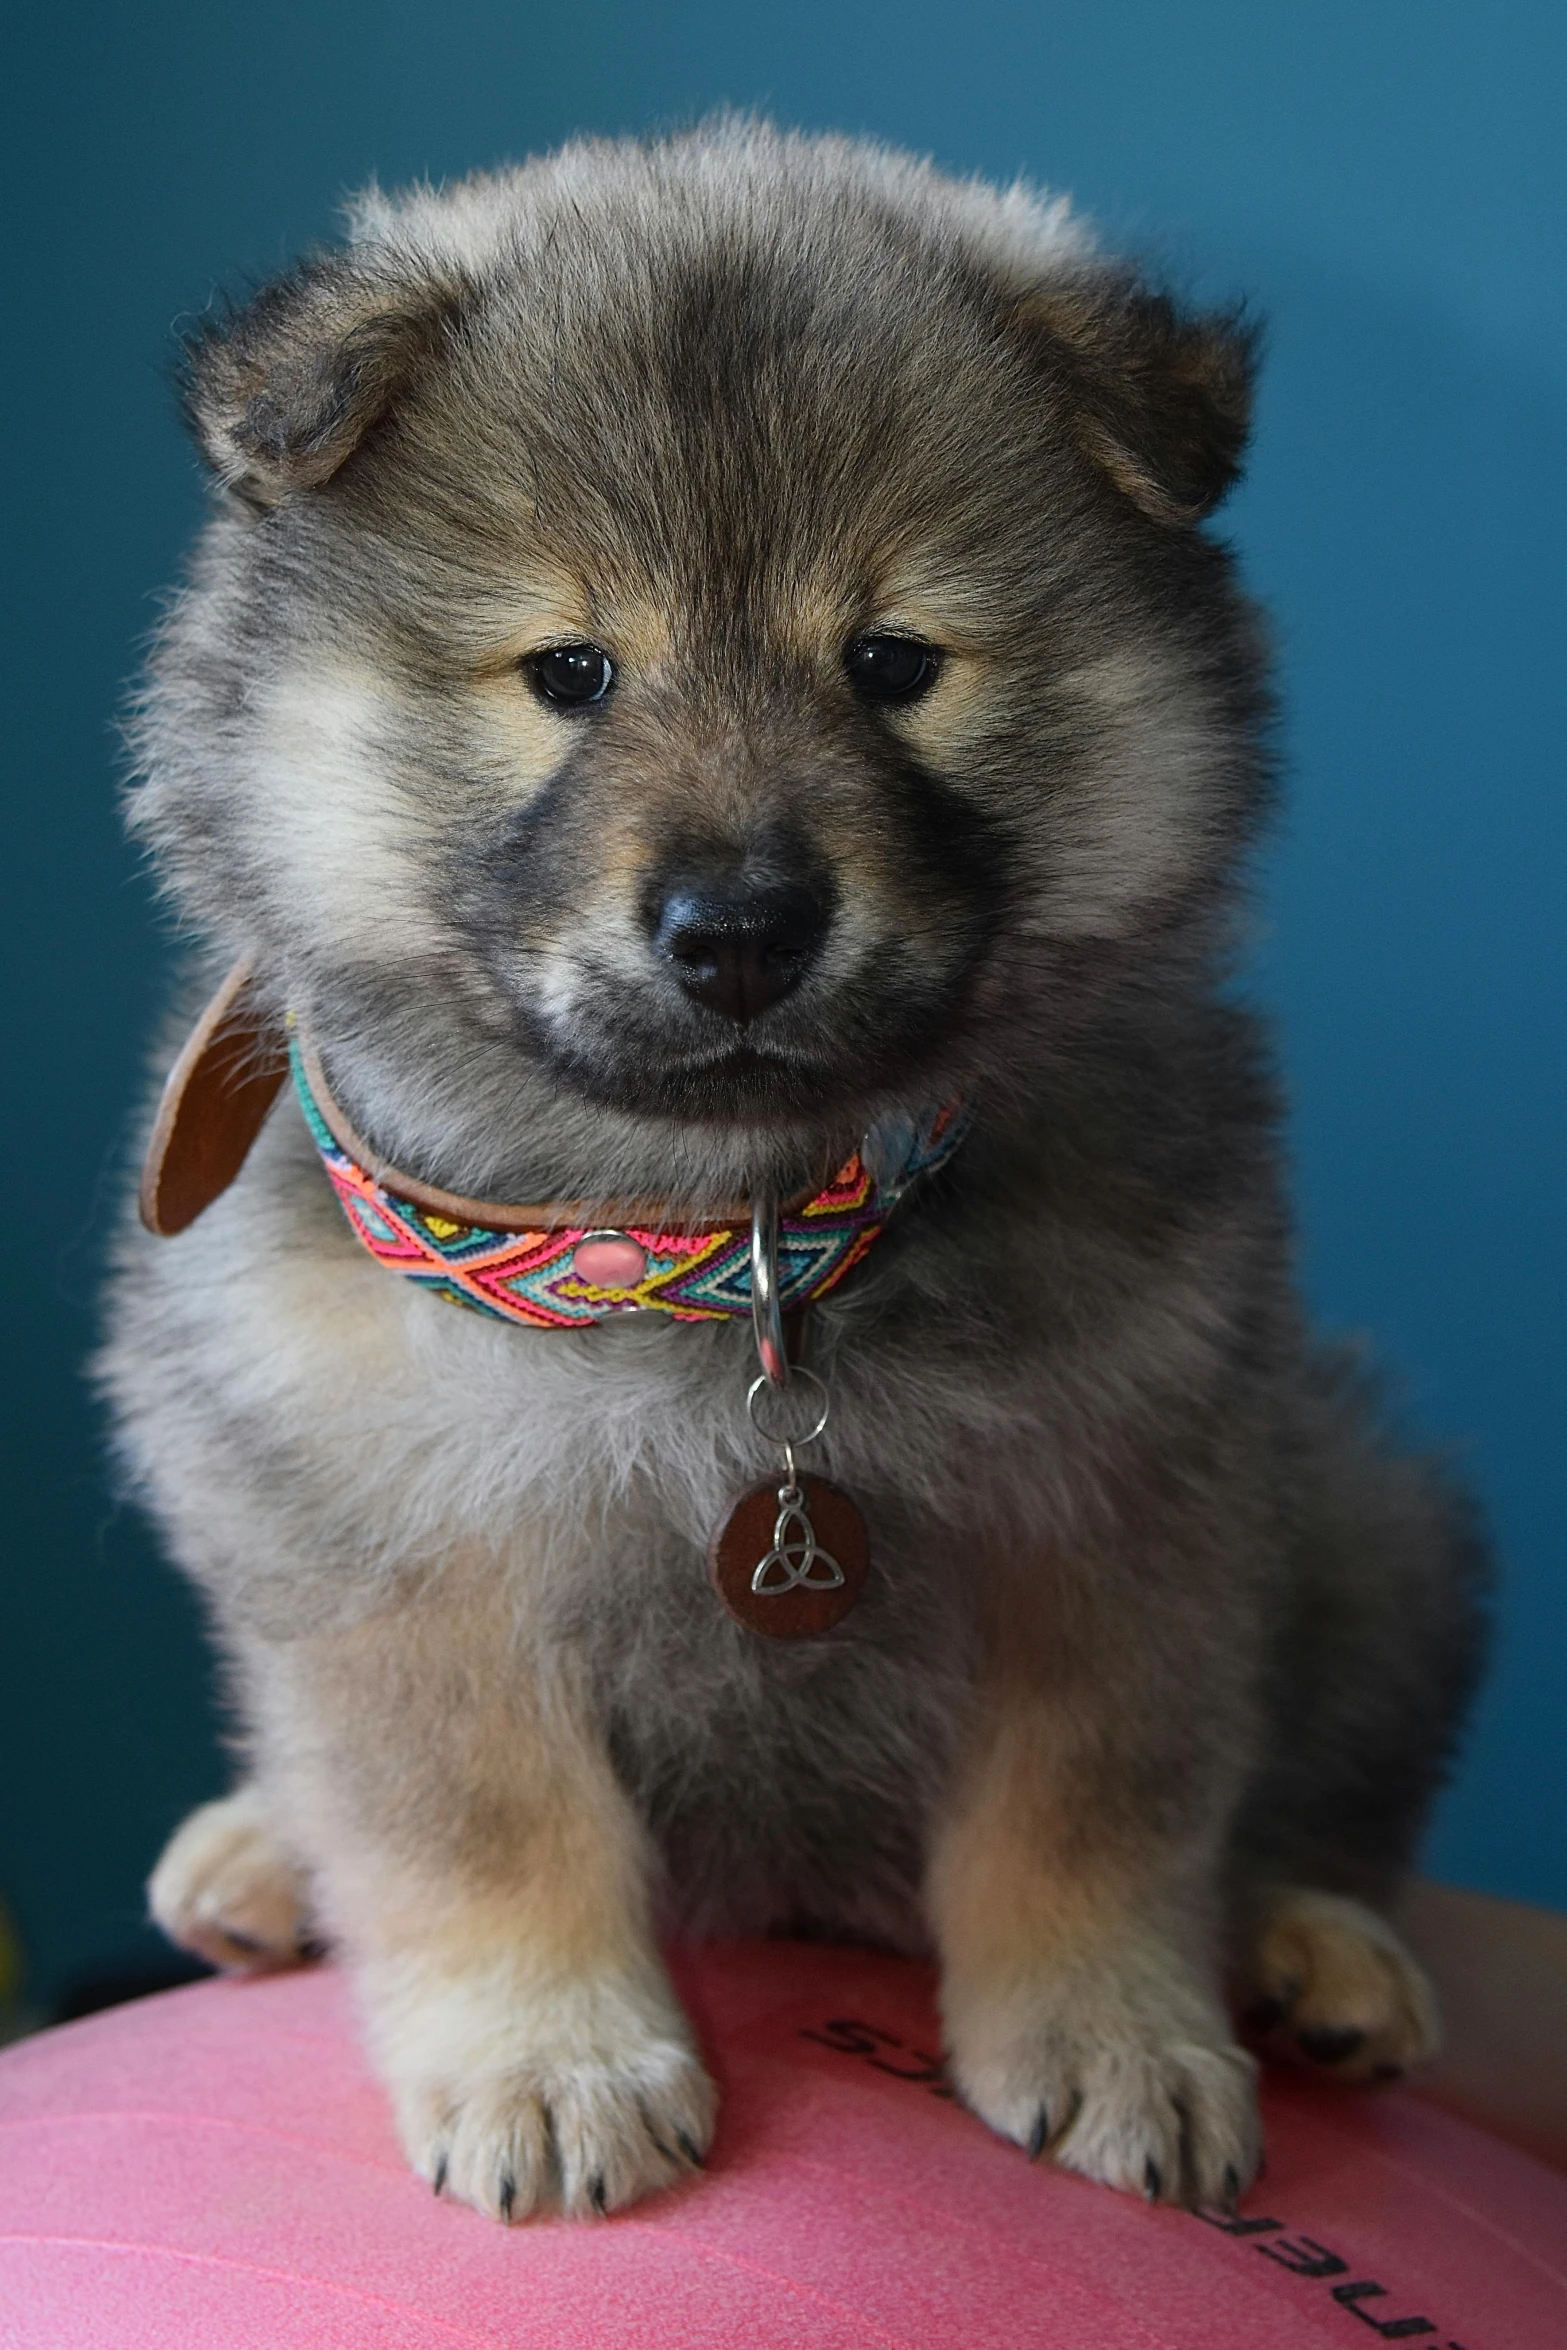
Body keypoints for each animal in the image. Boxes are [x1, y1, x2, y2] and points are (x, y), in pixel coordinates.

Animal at [103, 128, 1494, 2218]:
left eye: (894, 663)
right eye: (572, 671)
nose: (741, 927)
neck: (724, 1240)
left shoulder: (1119, 1511)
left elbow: (1094, 1809)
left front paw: (1111, 2030)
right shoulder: (388, 1539)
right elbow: (478, 1823)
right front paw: (550, 2061)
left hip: (1364, 1513)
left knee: (1328, 1792)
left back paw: (1315, 1949)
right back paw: (260, 1848)